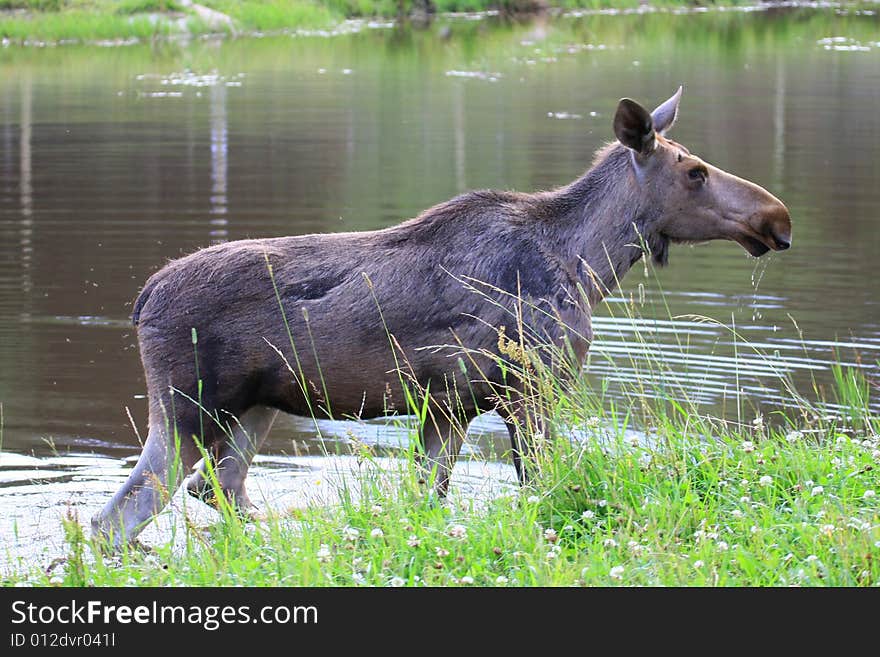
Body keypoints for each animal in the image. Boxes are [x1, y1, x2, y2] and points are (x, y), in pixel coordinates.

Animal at [94, 89, 792, 544]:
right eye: (695, 171)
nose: (776, 217)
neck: (589, 264)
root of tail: (142, 300)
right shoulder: (528, 389)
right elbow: (538, 489)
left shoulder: (450, 407)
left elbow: (425, 499)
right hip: (189, 408)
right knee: (118, 517)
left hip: (255, 408)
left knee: (215, 488)